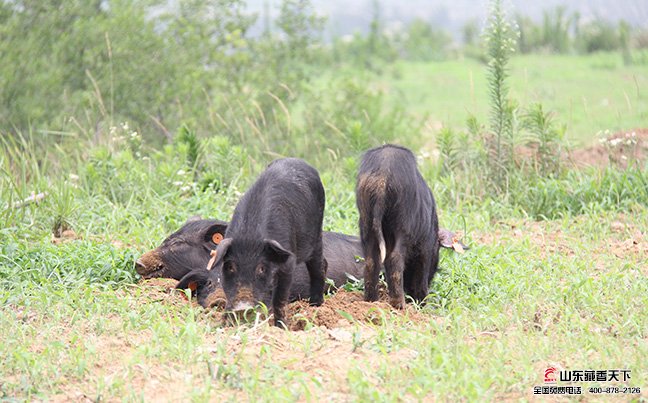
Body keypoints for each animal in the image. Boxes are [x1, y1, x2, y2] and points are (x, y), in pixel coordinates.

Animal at [211, 159, 324, 328]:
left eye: (261, 268)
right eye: (230, 266)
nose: (243, 307)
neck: (249, 235)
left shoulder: (288, 261)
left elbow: (280, 298)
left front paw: (281, 327)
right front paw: (224, 324)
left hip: (316, 236)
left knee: (319, 266)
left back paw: (316, 306)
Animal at [354, 145, 440, 310]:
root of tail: (382, 177)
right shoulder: (425, 249)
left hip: (366, 226)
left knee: (371, 262)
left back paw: (371, 300)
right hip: (403, 229)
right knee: (394, 259)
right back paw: (398, 303)